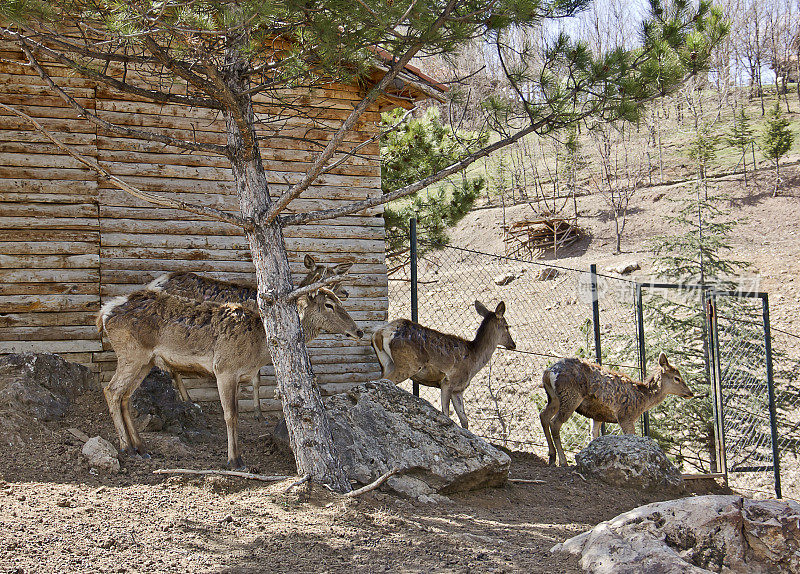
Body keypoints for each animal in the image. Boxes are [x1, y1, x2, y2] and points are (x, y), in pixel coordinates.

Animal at [97, 286, 362, 470]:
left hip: (145, 362)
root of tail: (103, 314)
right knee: (111, 390)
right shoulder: (224, 369)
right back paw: (126, 447)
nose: (358, 331)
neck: (258, 350)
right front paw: (235, 460)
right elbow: (231, 415)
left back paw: (140, 447)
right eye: (329, 304)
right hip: (132, 354)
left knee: (124, 395)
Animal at [145, 256, 356, 418]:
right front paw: (258, 412)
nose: (346, 292)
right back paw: (188, 400)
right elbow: (257, 377)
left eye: (337, 279)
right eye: (328, 280)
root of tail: (154, 284)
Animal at [372, 304, 516, 430]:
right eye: (507, 326)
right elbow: (446, 413)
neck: (474, 360)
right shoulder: (448, 381)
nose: (513, 344)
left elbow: (464, 420)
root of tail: (381, 332)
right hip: (408, 364)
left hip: (386, 363)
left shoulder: (458, 390)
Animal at [536, 356, 692, 468]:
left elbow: (594, 436)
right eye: (677, 378)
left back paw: (551, 456)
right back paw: (562, 461)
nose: (690, 393)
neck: (643, 400)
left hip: (554, 398)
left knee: (543, 416)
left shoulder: (597, 415)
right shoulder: (625, 416)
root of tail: (549, 372)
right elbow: (632, 436)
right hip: (570, 396)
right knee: (555, 423)